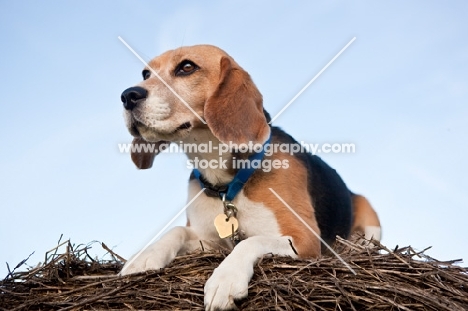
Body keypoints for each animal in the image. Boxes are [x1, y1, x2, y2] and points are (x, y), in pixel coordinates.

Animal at [119, 45, 380, 310]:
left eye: (187, 67)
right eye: (145, 74)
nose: (128, 95)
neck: (225, 184)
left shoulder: (304, 238)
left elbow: (251, 241)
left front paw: (226, 279)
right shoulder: (208, 241)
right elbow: (176, 231)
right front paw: (145, 256)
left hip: (370, 218)